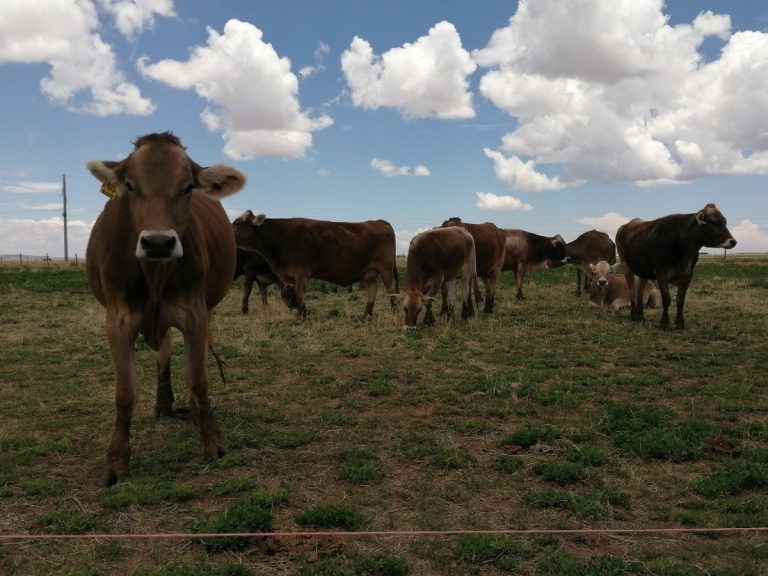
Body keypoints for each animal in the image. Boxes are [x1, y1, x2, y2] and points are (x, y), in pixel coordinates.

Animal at [85, 132, 246, 486]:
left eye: (187, 187)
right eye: (130, 185)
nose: (158, 242)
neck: (154, 273)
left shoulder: (195, 313)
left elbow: (198, 378)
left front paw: (213, 442)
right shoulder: (117, 320)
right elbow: (125, 392)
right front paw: (117, 461)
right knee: (165, 350)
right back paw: (163, 403)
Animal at [232, 212, 399, 318]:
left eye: (237, 222)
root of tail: (378, 222)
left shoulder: (300, 272)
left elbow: (300, 293)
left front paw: (299, 316)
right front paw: (303, 313)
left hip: (386, 269)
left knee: (391, 289)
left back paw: (394, 312)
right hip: (370, 273)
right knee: (373, 289)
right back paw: (366, 314)